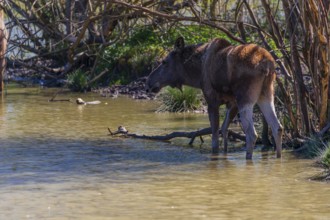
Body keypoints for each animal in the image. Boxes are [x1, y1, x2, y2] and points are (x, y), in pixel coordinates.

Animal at [147, 37, 284, 159]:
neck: (196, 74)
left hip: (245, 97)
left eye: (164, 62)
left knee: (251, 134)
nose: (148, 82)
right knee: (277, 127)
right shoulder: (232, 103)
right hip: (266, 95)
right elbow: (224, 129)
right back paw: (278, 158)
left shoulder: (212, 101)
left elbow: (215, 140)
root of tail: (267, 65)